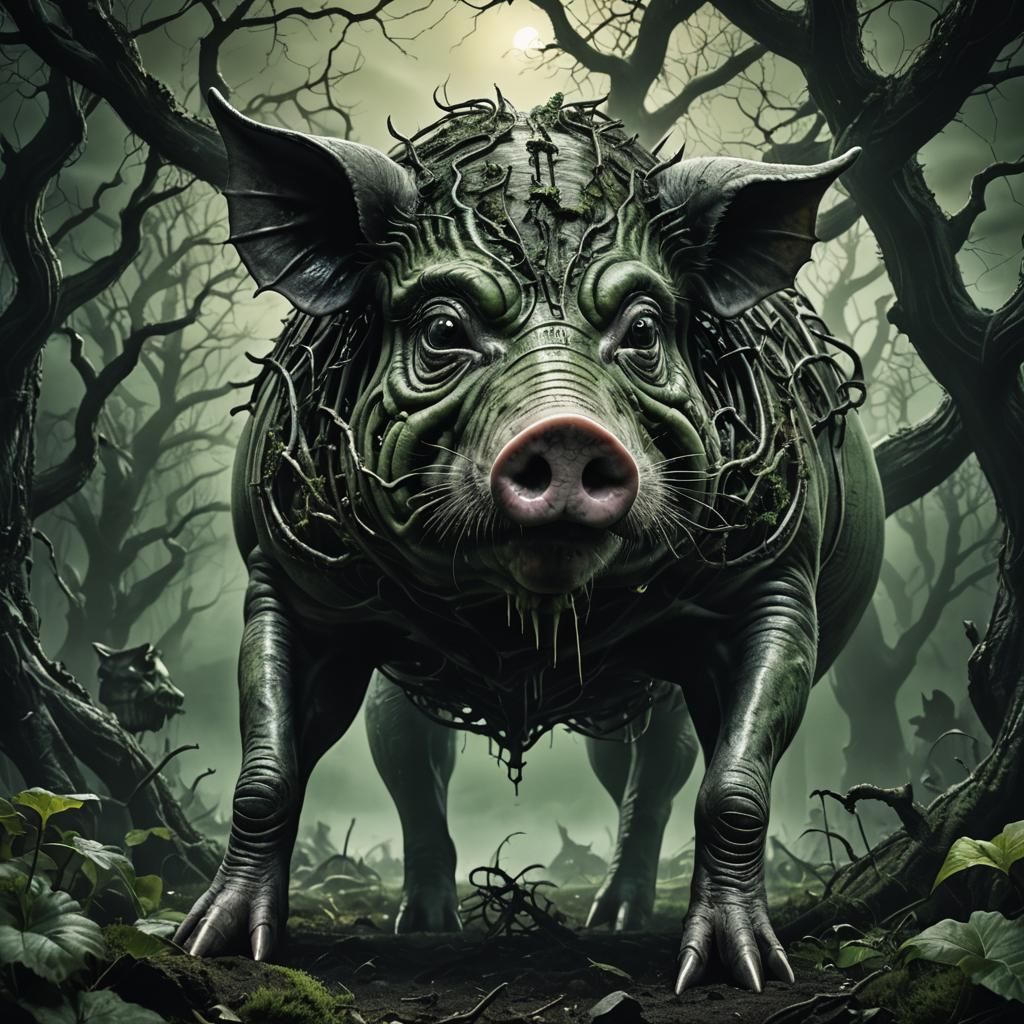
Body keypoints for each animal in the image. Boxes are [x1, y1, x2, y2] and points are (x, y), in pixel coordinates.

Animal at [175, 89, 884, 994]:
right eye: (443, 329)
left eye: (644, 330)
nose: (568, 430)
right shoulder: (291, 580)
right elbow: (267, 773)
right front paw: (215, 946)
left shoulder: (776, 578)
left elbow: (731, 783)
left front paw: (744, 974)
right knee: (410, 758)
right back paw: (426, 927)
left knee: (650, 771)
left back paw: (617, 922)